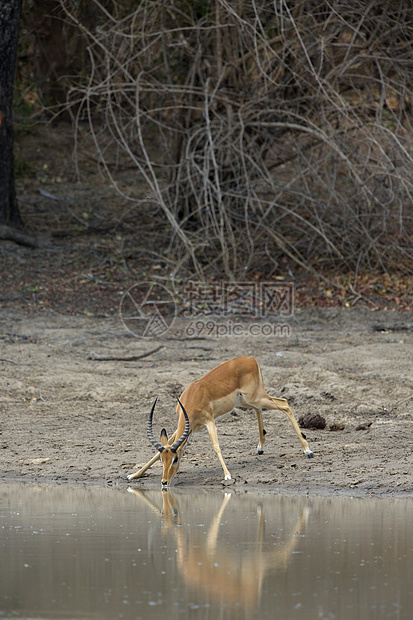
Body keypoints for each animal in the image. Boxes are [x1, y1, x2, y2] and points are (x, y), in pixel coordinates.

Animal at [127, 356, 310, 486]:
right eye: (162, 458)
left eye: (175, 459)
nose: (164, 482)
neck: (193, 397)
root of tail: (250, 358)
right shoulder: (189, 426)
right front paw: (134, 474)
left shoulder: (209, 421)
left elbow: (216, 446)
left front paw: (228, 475)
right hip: (245, 401)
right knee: (260, 409)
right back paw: (260, 448)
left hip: (255, 397)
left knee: (284, 403)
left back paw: (308, 450)